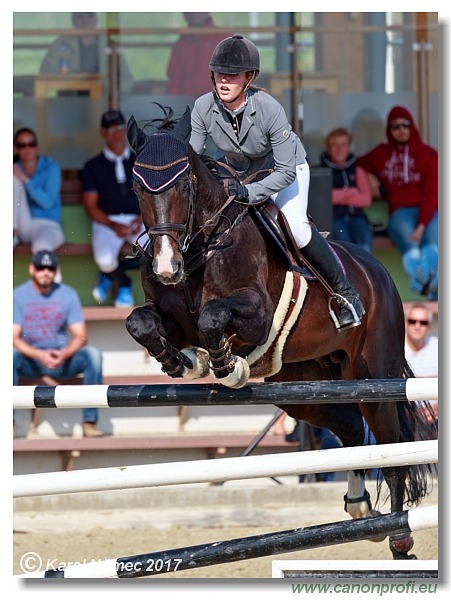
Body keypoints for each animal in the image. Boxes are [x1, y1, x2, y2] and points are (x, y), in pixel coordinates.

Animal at [125, 109, 436, 564]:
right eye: (135, 186)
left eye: (183, 185)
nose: (167, 266)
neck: (200, 247)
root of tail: (379, 272)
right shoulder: (168, 316)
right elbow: (141, 323)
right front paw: (182, 362)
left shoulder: (256, 314)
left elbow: (213, 318)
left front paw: (225, 365)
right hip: (304, 386)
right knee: (350, 429)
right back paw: (359, 507)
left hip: (374, 377)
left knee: (390, 444)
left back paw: (398, 538)